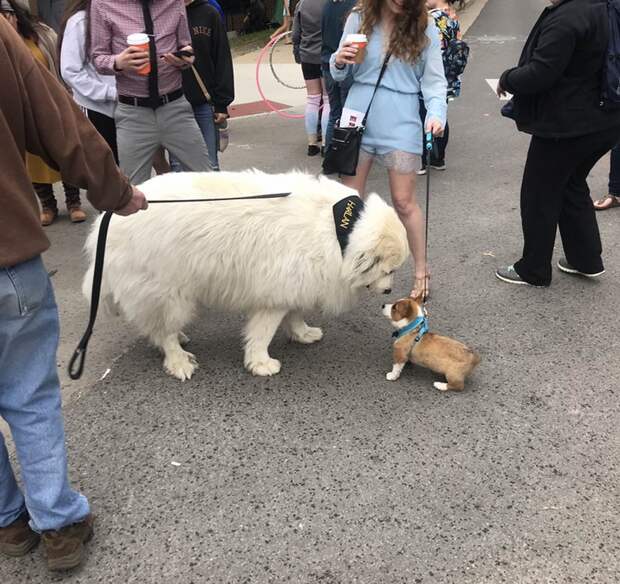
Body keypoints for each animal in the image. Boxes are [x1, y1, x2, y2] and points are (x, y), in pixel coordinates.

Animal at [83, 170, 412, 378]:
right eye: (389, 271)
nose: (388, 291)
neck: (340, 232)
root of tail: (105, 223)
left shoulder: (295, 284)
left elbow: (295, 315)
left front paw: (303, 334)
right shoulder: (274, 298)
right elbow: (262, 334)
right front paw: (260, 363)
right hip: (169, 293)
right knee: (163, 332)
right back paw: (179, 362)